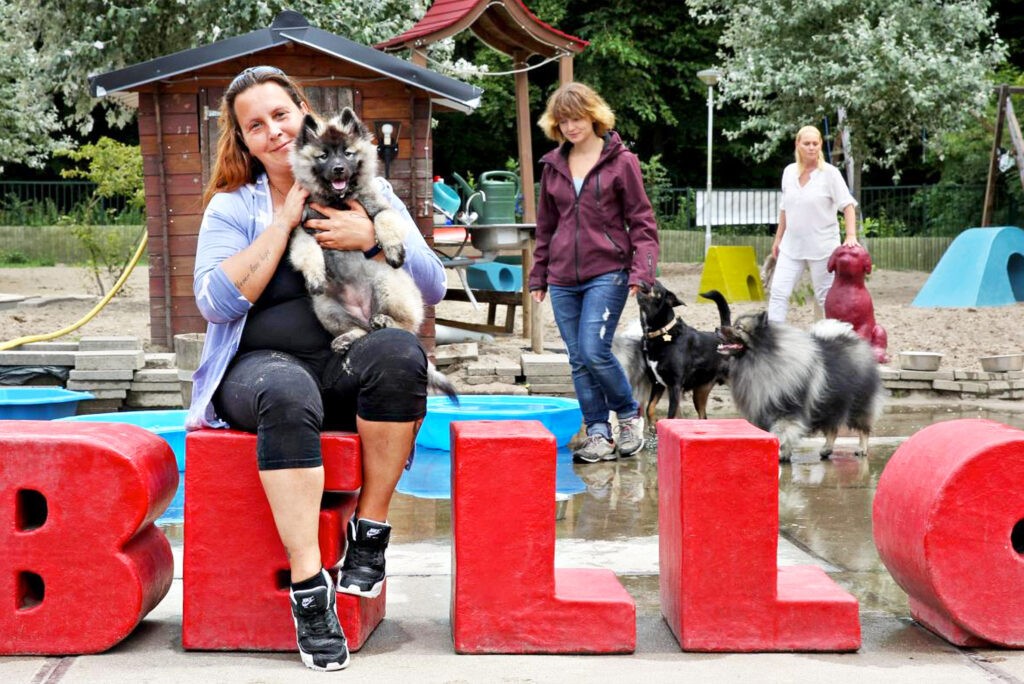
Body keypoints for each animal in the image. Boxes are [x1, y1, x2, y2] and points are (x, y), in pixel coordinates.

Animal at [288, 108, 456, 401]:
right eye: (323, 156)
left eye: (347, 153)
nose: (338, 169)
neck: (339, 202)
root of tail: (366, 313)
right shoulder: (303, 231)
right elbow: (308, 253)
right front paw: (315, 276)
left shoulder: (381, 209)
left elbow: (383, 222)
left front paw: (393, 250)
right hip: (325, 307)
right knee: (362, 331)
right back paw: (348, 337)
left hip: (386, 282)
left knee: (406, 327)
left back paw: (385, 320)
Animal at [634, 282, 733, 421]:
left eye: (656, 284)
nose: (641, 281)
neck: (661, 333)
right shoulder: (658, 383)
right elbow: (650, 408)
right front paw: (654, 423)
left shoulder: (675, 386)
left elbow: (670, 416)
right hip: (700, 392)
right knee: (703, 417)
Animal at [716, 313, 884, 462]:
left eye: (738, 328)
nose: (717, 328)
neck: (760, 360)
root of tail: (854, 340)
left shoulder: (786, 412)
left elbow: (782, 433)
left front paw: (780, 454)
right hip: (830, 405)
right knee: (832, 429)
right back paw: (826, 450)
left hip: (857, 404)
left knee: (863, 429)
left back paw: (862, 449)